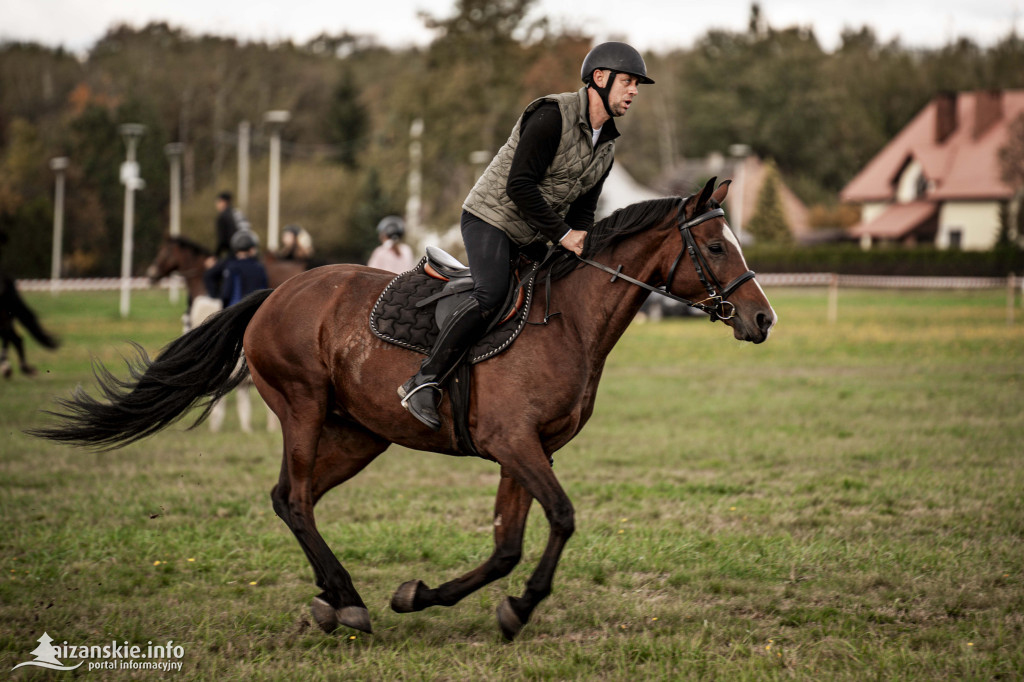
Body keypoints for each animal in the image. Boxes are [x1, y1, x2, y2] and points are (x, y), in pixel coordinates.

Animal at [36, 178, 778, 638]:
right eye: (717, 246)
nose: (762, 318)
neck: (565, 320)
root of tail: (276, 293)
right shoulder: (517, 445)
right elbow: (562, 519)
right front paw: (516, 607)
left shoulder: (522, 452)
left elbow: (506, 547)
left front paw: (433, 597)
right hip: (303, 407)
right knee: (295, 498)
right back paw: (348, 602)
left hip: (359, 434)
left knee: (291, 499)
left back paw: (334, 599)